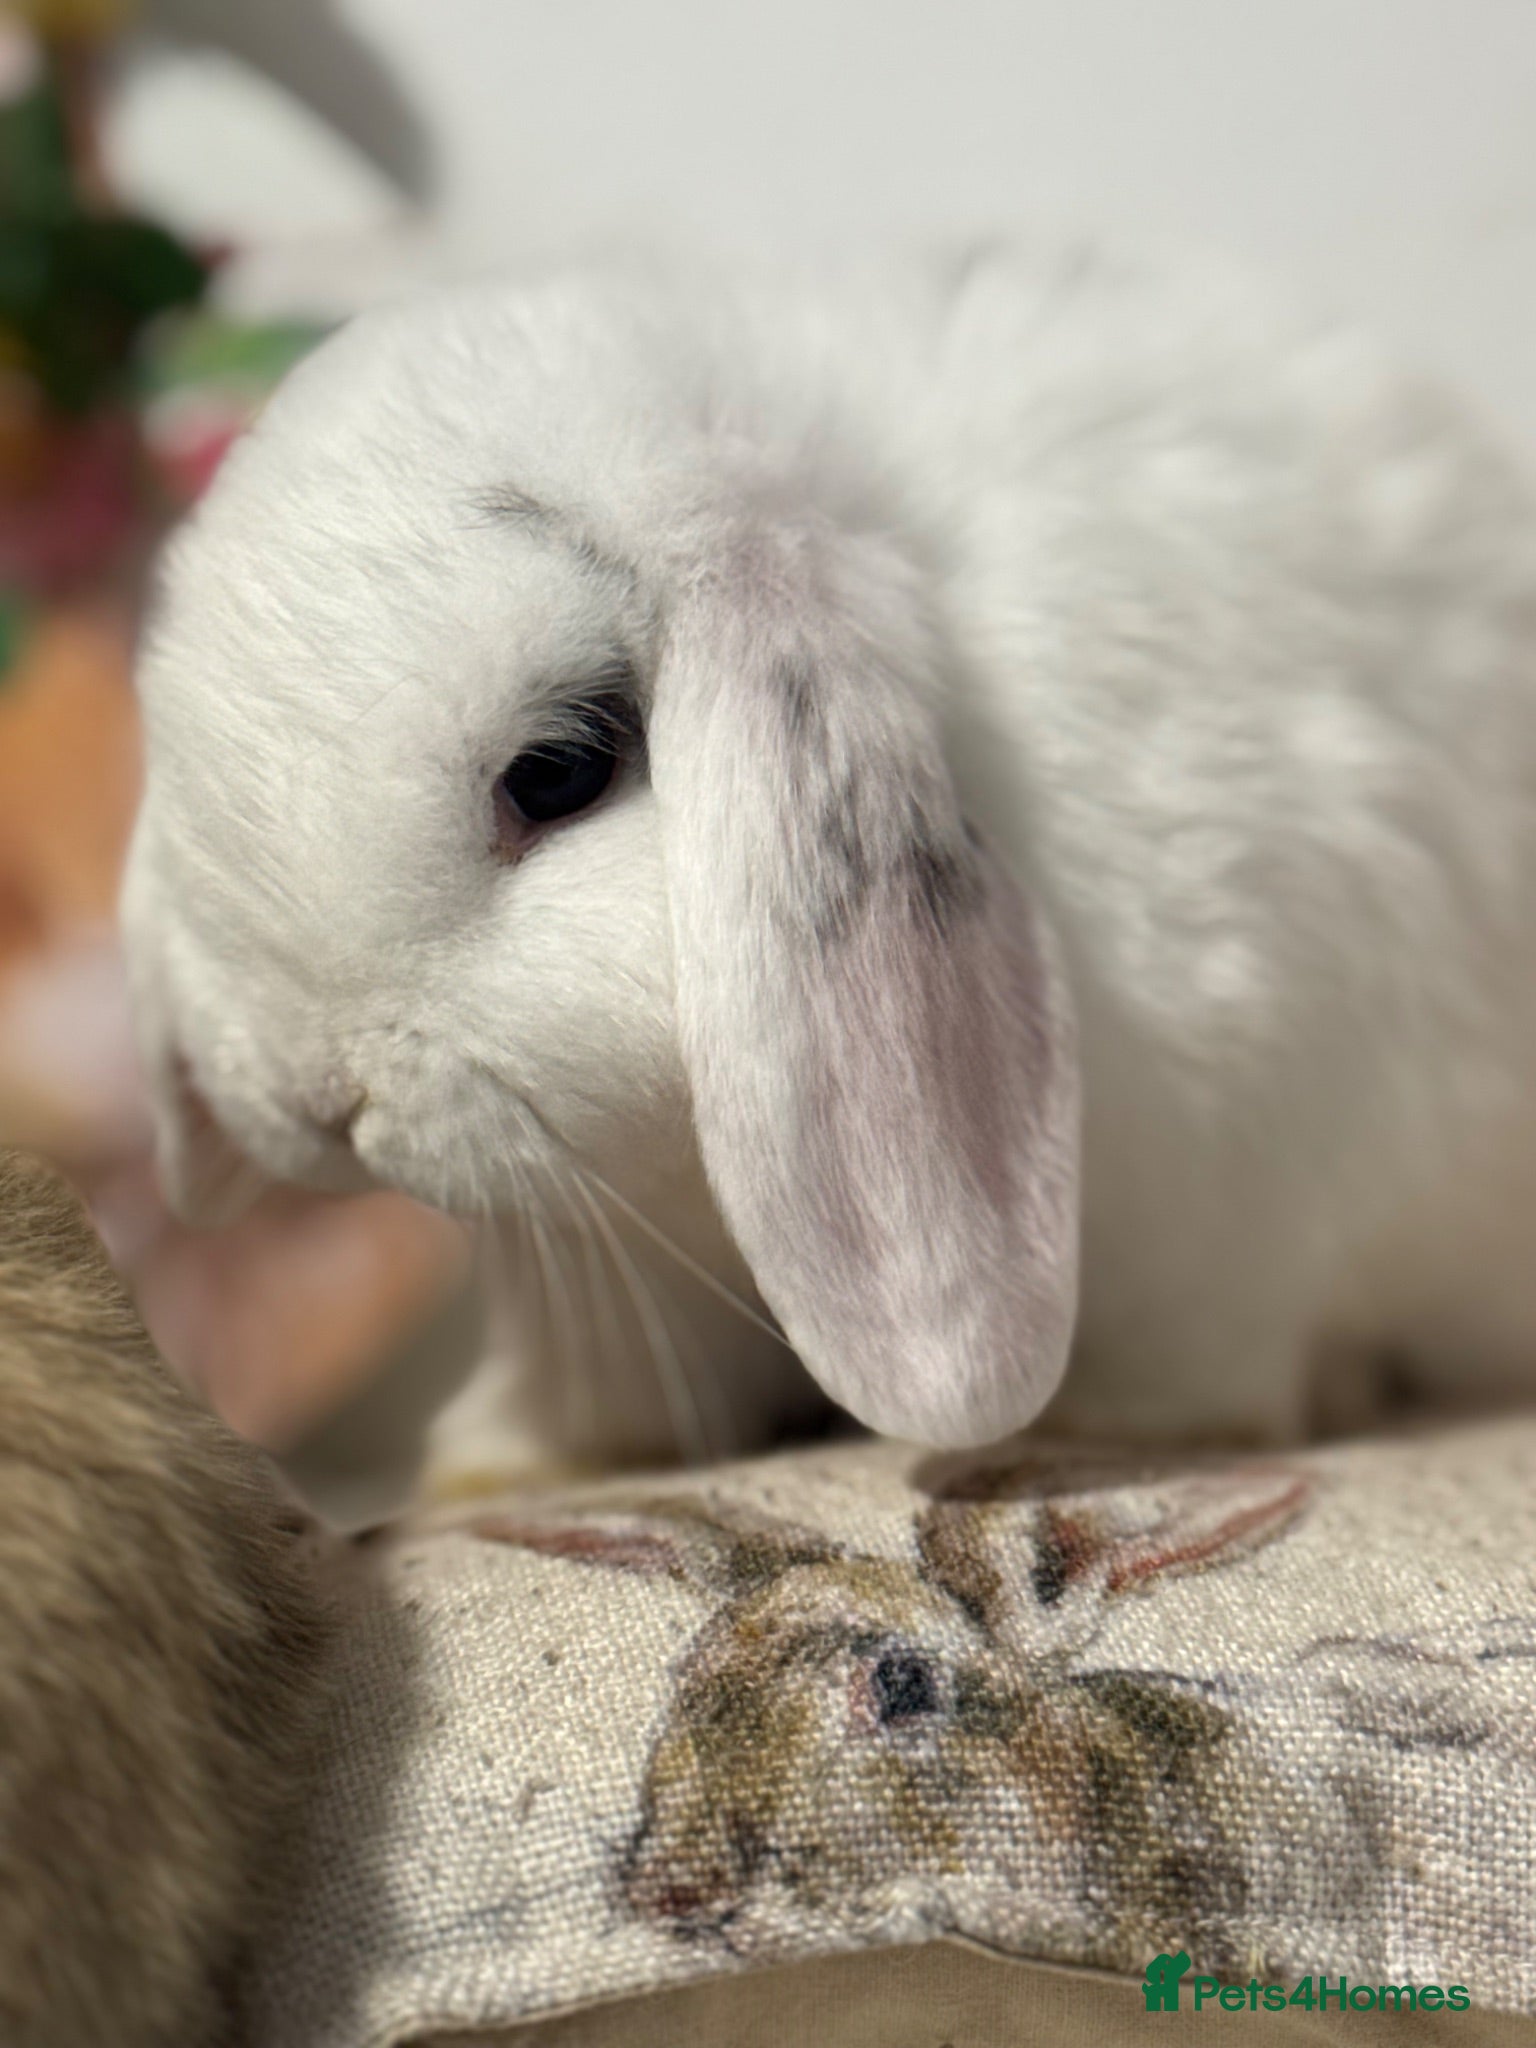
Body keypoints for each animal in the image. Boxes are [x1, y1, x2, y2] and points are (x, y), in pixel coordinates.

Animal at [119, 239, 1536, 1491]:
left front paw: (1100, 1438)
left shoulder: (1238, 1201)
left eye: (560, 769)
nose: (316, 1096)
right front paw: (498, 1462)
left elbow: (1197, 1372)